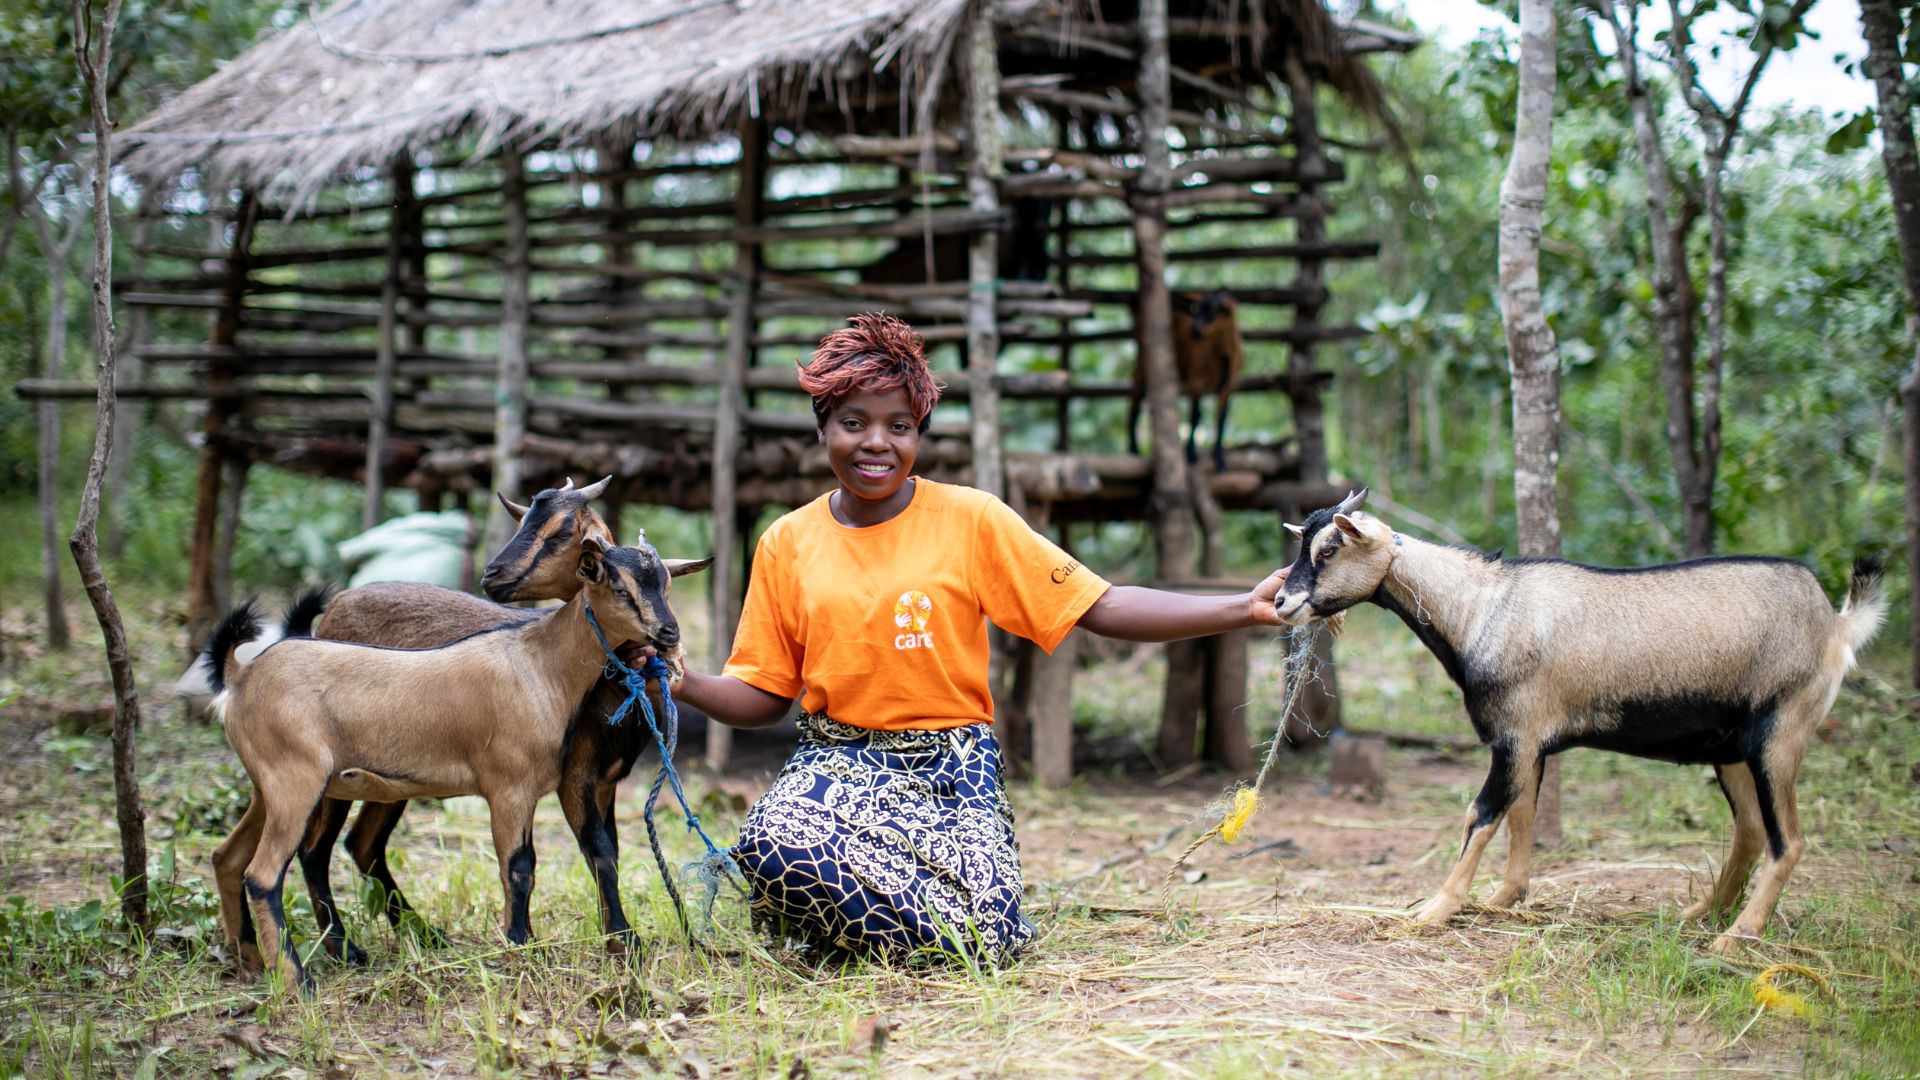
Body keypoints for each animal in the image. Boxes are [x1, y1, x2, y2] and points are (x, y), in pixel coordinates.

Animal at [1121, 288, 1244, 468]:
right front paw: (1191, 454)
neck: (1222, 357)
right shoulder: (1196, 381)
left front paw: (1219, 458)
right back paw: (1133, 450)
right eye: (1196, 310)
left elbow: (1221, 418)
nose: (1194, 329)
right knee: (1135, 400)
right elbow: (1196, 416)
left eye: (1213, 311)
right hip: (1144, 354)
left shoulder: (1229, 386)